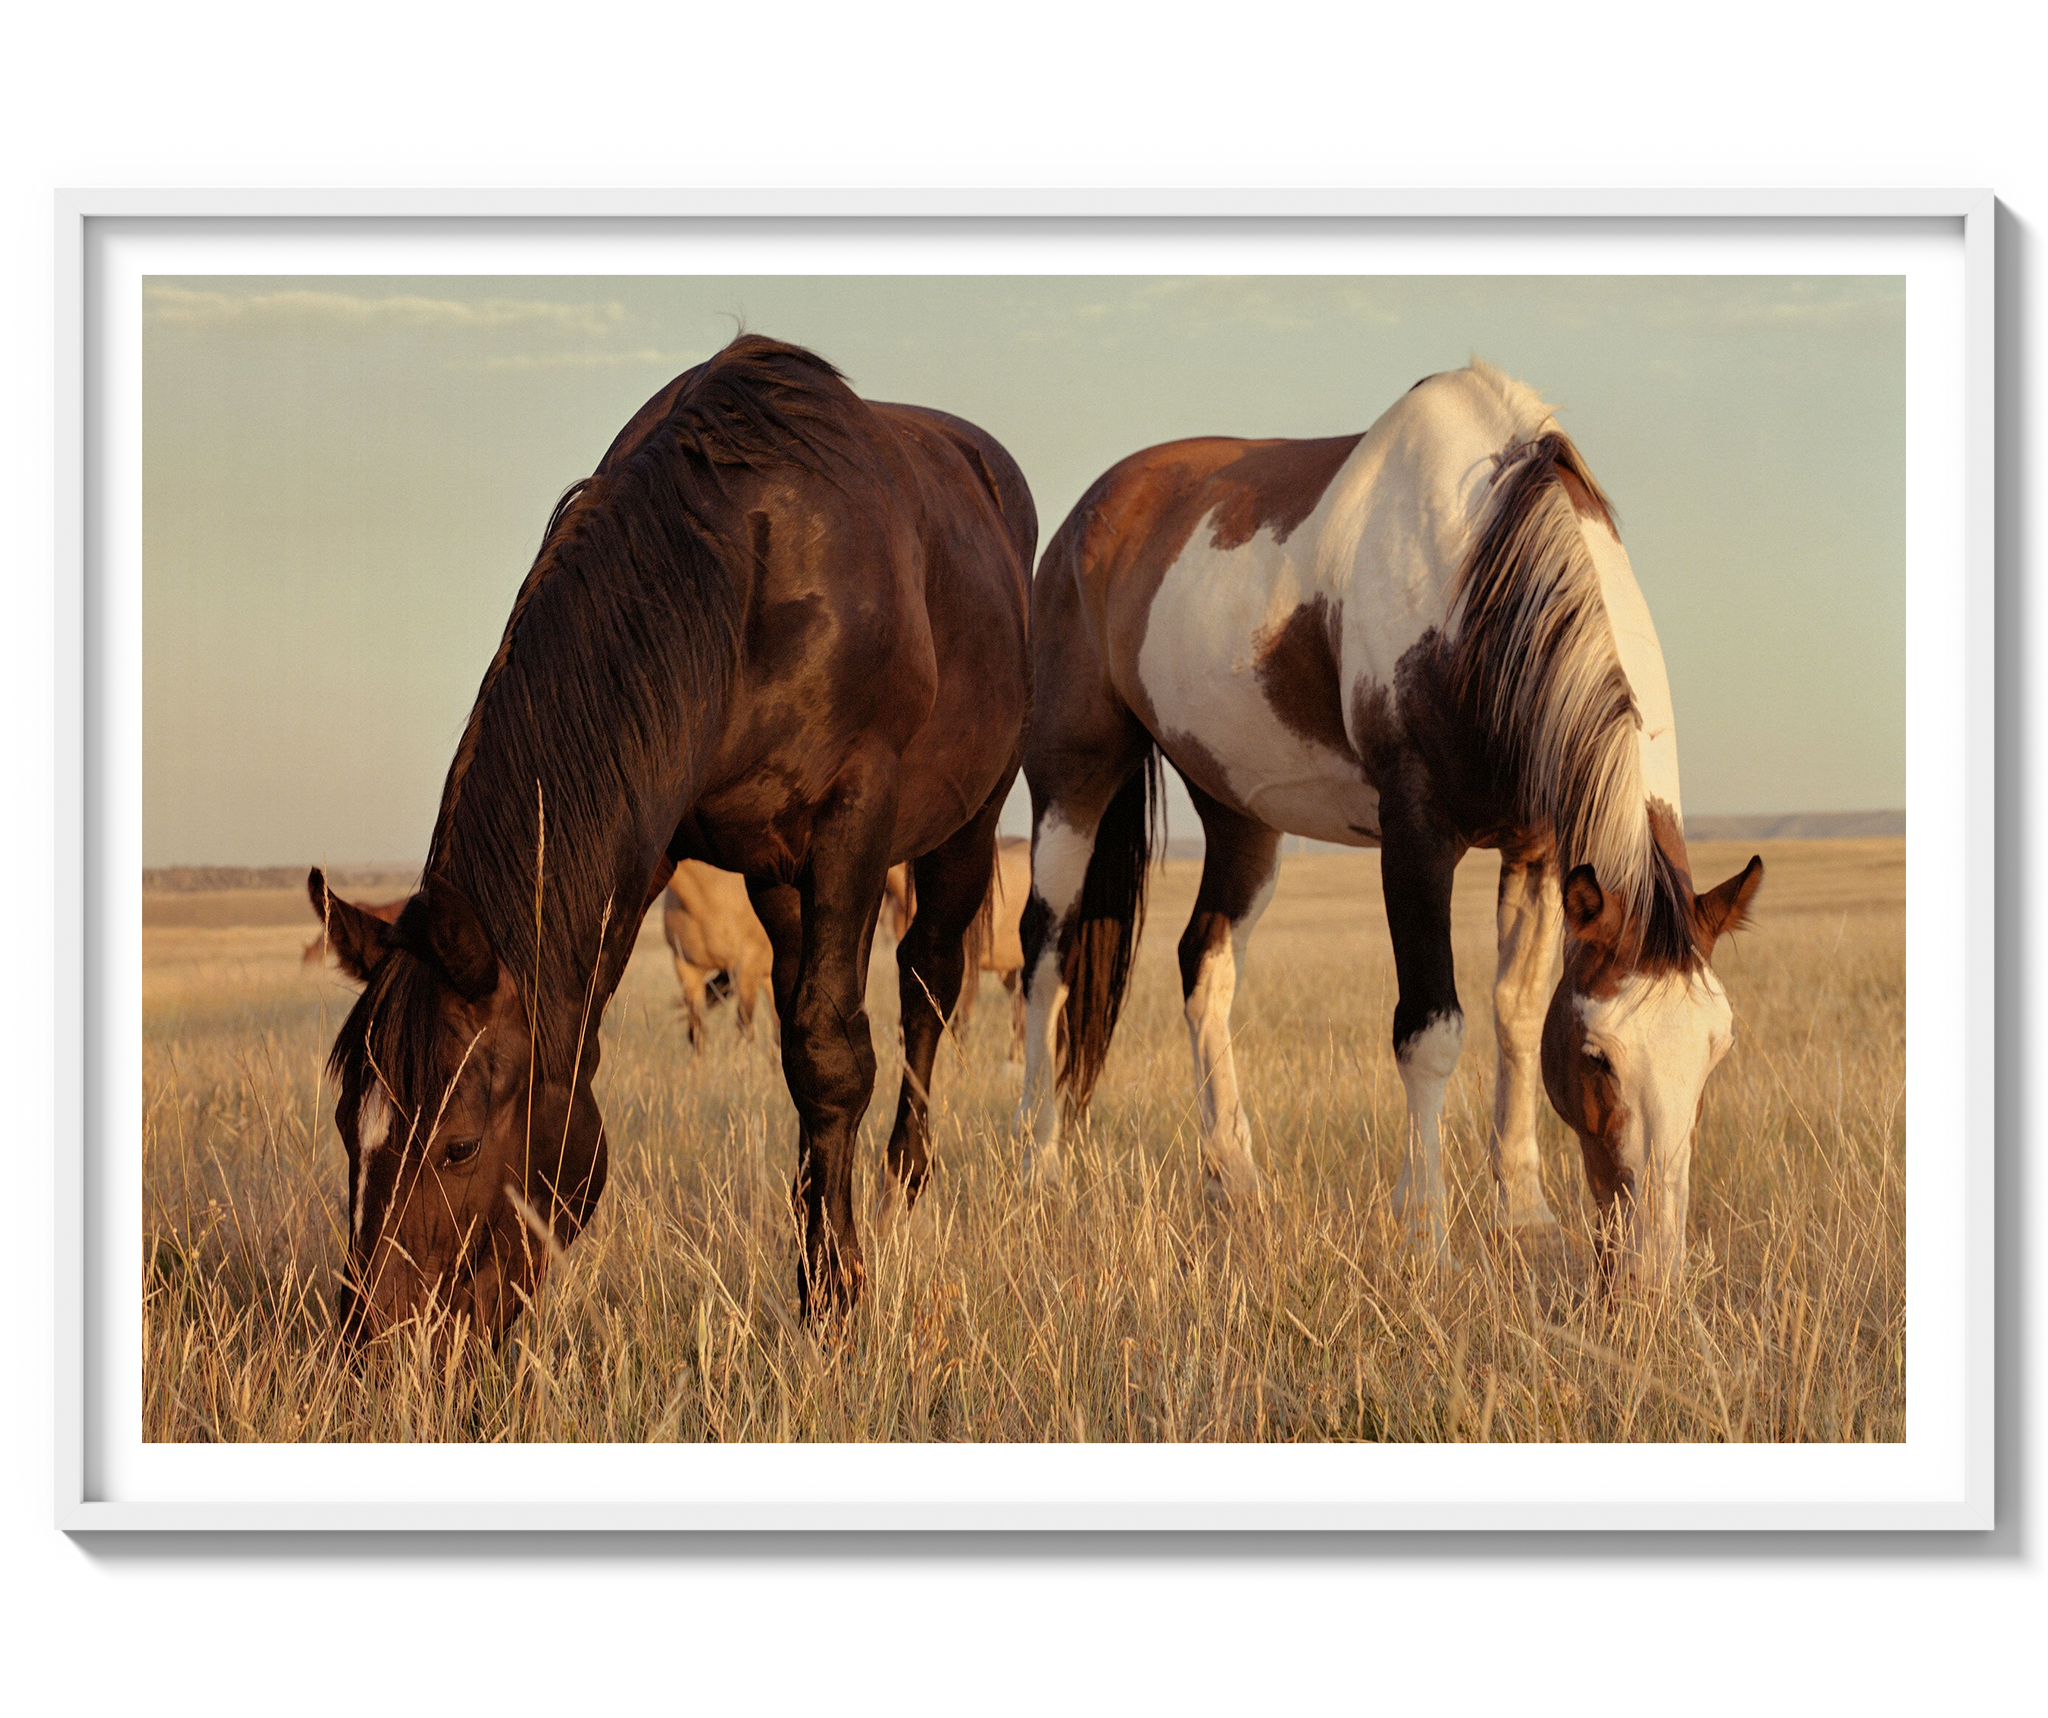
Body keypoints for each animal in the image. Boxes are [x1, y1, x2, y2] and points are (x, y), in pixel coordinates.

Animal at [315, 329, 1040, 1335]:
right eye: (349, 1127)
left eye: (458, 1145)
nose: (378, 1343)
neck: (742, 573)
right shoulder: (680, 842)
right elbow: (803, 1052)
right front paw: (814, 1264)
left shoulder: (856, 814)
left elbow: (836, 1052)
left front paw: (836, 1295)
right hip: (781, 874)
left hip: (967, 822)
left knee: (929, 979)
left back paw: (907, 1182)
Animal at [1019, 362, 1761, 1294]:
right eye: (1598, 1056)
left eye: (1716, 1052)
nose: (1652, 1272)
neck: (1474, 571)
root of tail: (1087, 517)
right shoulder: (1416, 837)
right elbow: (1430, 1031)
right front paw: (1426, 1240)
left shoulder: (1537, 849)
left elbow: (1516, 1013)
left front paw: (1523, 1213)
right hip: (1072, 781)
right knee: (1044, 954)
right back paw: (1039, 1168)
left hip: (1240, 813)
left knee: (1204, 961)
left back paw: (1236, 1184)